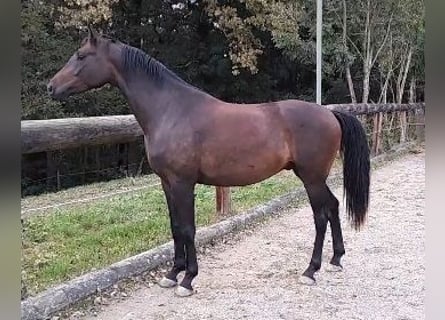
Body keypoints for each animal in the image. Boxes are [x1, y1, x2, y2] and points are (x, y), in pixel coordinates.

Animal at [46, 27, 370, 298]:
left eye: (81, 56)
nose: (51, 87)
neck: (171, 110)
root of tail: (330, 113)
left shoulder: (182, 182)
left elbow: (188, 229)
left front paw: (188, 280)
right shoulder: (167, 183)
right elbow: (175, 226)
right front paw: (172, 274)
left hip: (311, 178)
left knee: (320, 215)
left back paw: (310, 270)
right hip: (316, 178)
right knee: (333, 207)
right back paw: (336, 259)